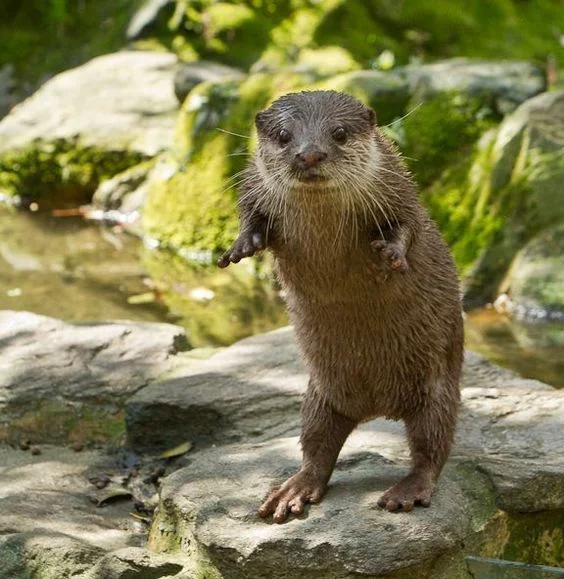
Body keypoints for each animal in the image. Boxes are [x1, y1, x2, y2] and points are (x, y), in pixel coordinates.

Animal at [217, 92, 462, 524]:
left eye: (340, 133)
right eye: (284, 135)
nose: (310, 154)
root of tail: (379, 406)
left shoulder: (397, 188)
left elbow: (408, 225)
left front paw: (391, 253)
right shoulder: (252, 185)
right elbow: (249, 214)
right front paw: (242, 245)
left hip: (439, 386)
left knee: (432, 447)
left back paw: (406, 492)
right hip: (320, 396)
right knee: (318, 447)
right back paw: (293, 491)